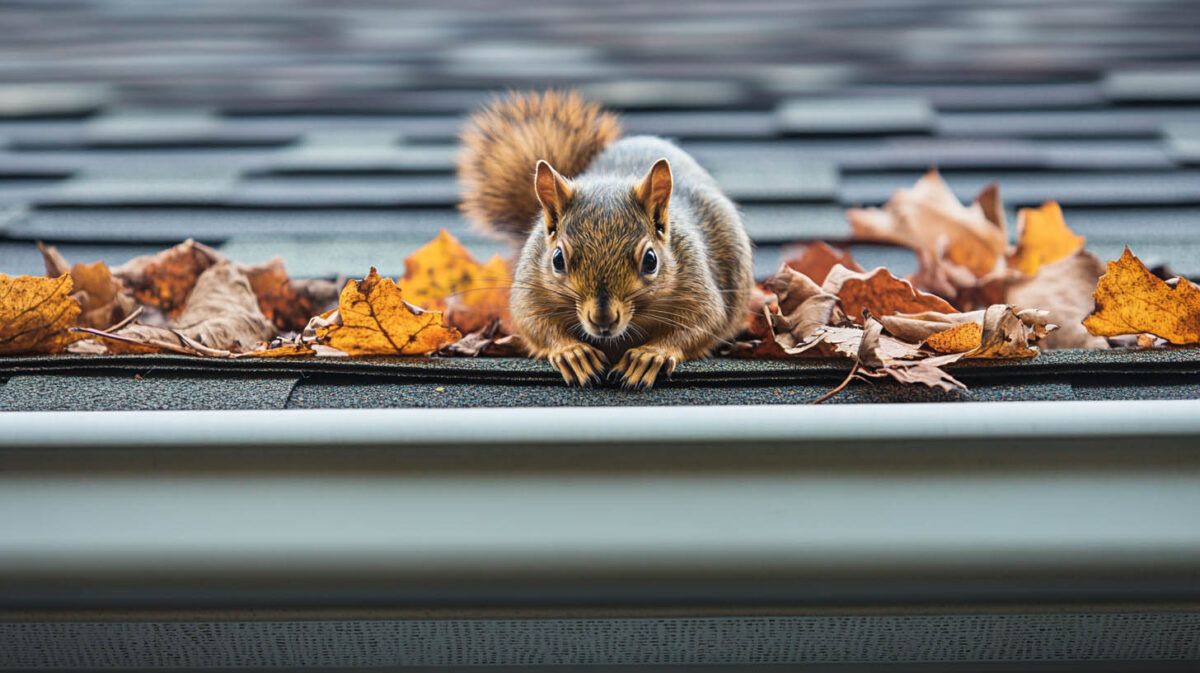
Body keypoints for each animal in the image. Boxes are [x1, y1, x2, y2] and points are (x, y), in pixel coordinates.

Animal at [458, 90, 753, 389]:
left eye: (651, 260)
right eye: (557, 260)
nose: (603, 319)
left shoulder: (695, 281)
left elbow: (703, 322)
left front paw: (649, 355)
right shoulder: (531, 287)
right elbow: (533, 322)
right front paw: (572, 353)